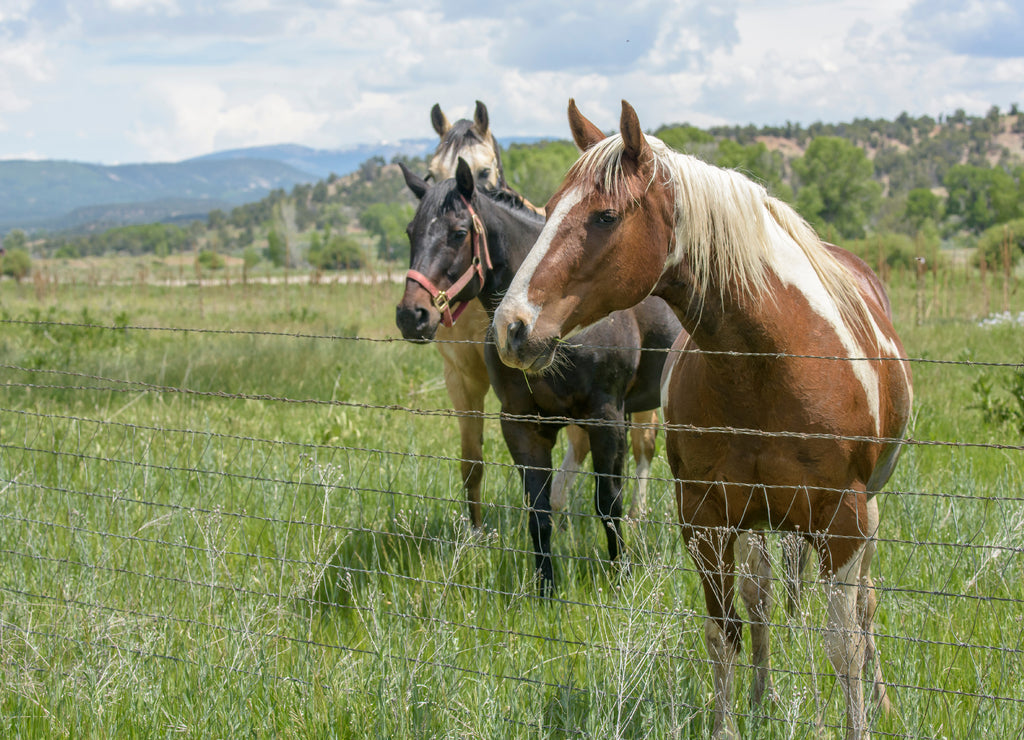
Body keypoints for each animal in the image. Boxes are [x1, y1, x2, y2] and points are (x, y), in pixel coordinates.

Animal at [396, 157, 682, 593]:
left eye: (459, 233)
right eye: (411, 232)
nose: (413, 315)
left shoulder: (606, 418)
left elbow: (608, 502)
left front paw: (620, 577)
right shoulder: (522, 424)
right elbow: (538, 510)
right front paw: (546, 587)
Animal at [492, 100, 913, 739]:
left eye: (605, 216)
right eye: (548, 209)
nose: (511, 326)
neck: (769, 363)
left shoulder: (844, 519)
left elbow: (844, 646)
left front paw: (862, 719)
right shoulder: (706, 519)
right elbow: (724, 635)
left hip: (861, 516)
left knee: (862, 608)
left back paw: (882, 699)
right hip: (761, 522)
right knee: (762, 603)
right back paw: (764, 698)